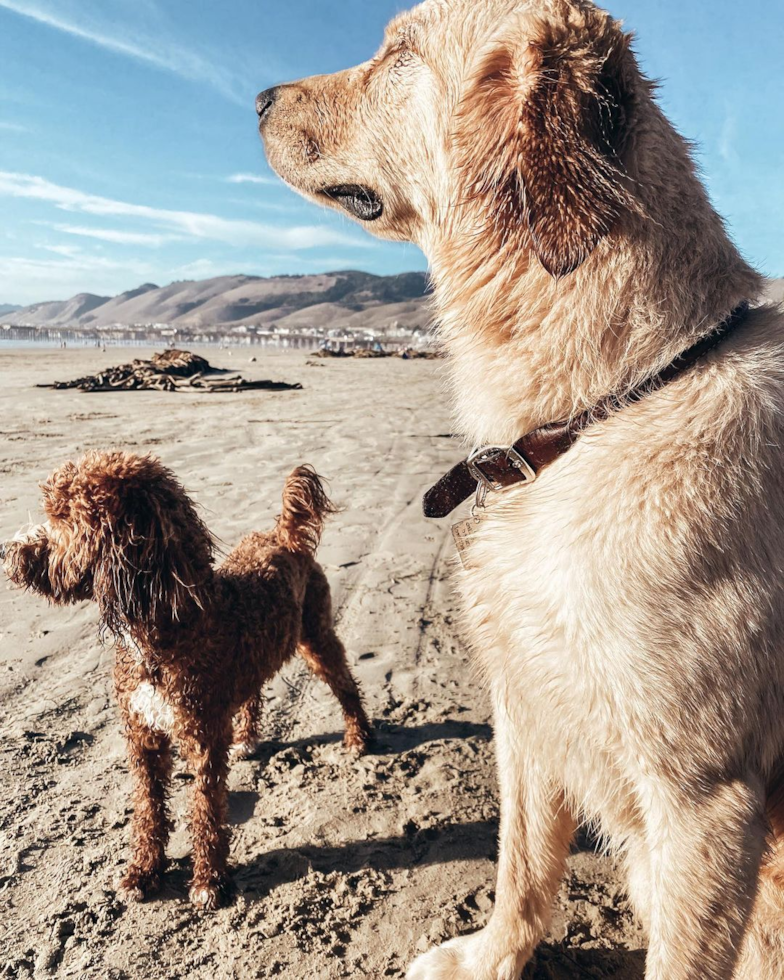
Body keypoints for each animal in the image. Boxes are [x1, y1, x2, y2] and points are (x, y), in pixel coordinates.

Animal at [2, 452, 370, 912]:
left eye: (66, 517)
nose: (10, 551)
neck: (162, 634)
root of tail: (283, 536)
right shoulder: (142, 734)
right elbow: (148, 809)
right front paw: (143, 872)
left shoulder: (203, 738)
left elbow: (206, 810)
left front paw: (209, 880)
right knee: (252, 692)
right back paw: (247, 738)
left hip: (317, 636)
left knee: (344, 684)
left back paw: (358, 737)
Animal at [260, 1, 784, 980]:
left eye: (399, 52)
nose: (262, 97)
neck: (607, 400)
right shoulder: (527, 698)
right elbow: (524, 861)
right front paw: (490, 957)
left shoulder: (706, 799)